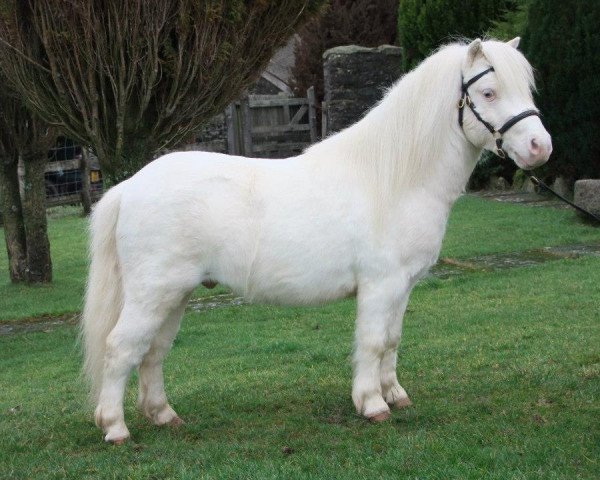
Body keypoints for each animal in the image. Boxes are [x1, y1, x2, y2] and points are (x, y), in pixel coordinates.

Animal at [82, 37, 552, 442]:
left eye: (526, 88)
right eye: (488, 92)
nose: (539, 147)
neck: (392, 180)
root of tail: (130, 186)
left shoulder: (402, 286)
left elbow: (392, 341)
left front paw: (396, 395)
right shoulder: (380, 285)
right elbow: (372, 342)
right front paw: (372, 404)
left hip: (174, 295)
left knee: (153, 351)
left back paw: (164, 416)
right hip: (152, 293)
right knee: (121, 348)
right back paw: (115, 428)